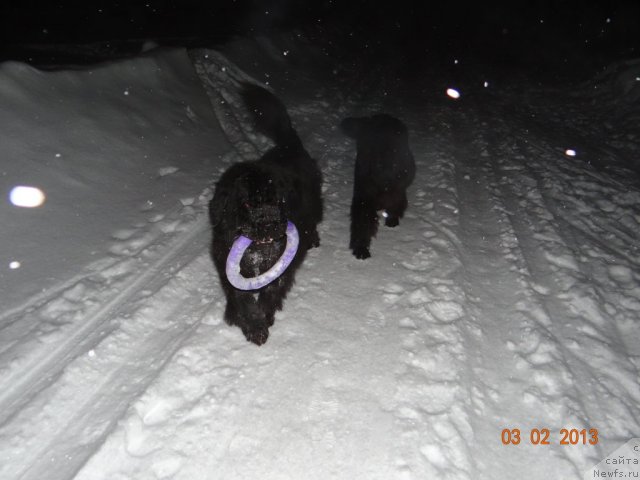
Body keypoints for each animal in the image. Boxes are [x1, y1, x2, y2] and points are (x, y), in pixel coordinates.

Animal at [210, 82, 322, 344]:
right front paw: (251, 325)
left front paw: (263, 318)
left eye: (279, 201)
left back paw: (312, 239)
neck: (257, 251)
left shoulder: (279, 272)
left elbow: (269, 294)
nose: (270, 224)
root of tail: (290, 145)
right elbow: (241, 299)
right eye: (248, 205)